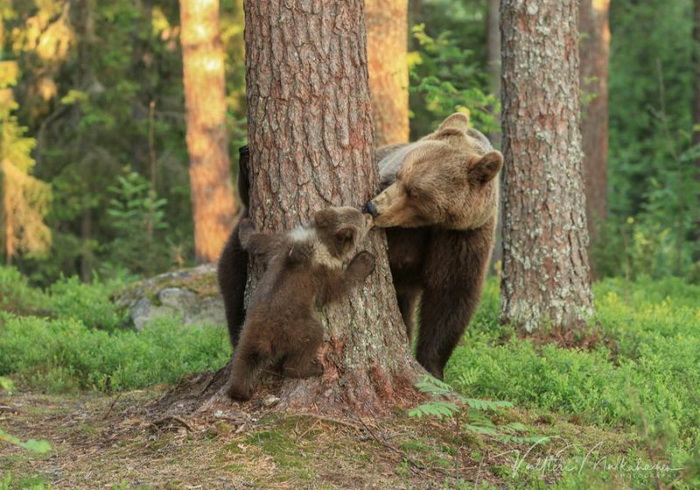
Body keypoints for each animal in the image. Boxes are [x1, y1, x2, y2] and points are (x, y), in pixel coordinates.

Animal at [227, 208, 374, 402]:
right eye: (363, 221)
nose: (370, 214)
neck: (320, 242)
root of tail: (265, 337)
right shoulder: (320, 271)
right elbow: (336, 288)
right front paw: (365, 259)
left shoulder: (282, 245)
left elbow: (258, 241)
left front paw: (247, 224)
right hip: (294, 327)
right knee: (310, 339)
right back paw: (313, 367)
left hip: (247, 328)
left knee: (243, 360)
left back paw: (239, 390)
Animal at [360, 112, 504, 378]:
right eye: (400, 174)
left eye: (416, 193)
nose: (374, 208)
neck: (429, 224)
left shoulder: (462, 236)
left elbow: (450, 295)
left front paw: (431, 368)